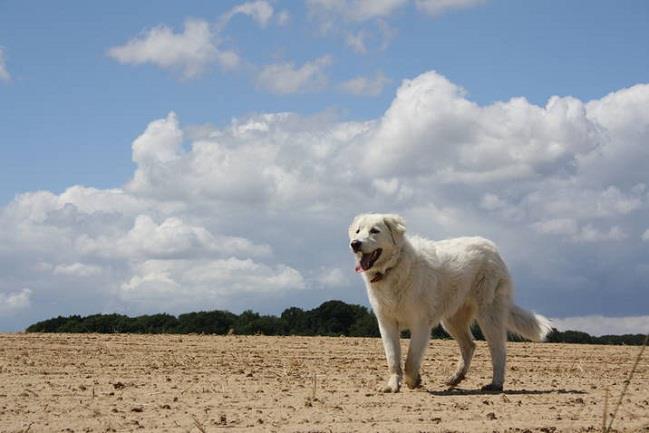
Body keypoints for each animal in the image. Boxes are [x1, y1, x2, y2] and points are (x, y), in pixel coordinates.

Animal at [348, 213, 552, 393]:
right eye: (358, 231)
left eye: (375, 231)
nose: (355, 244)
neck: (393, 268)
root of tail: (492, 248)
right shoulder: (387, 323)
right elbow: (393, 358)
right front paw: (392, 385)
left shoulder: (420, 324)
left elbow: (411, 359)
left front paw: (413, 381)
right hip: (452, 320)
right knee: (469, 345)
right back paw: (456, 378)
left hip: (488, 316)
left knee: (498, 350)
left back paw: (495, 384)